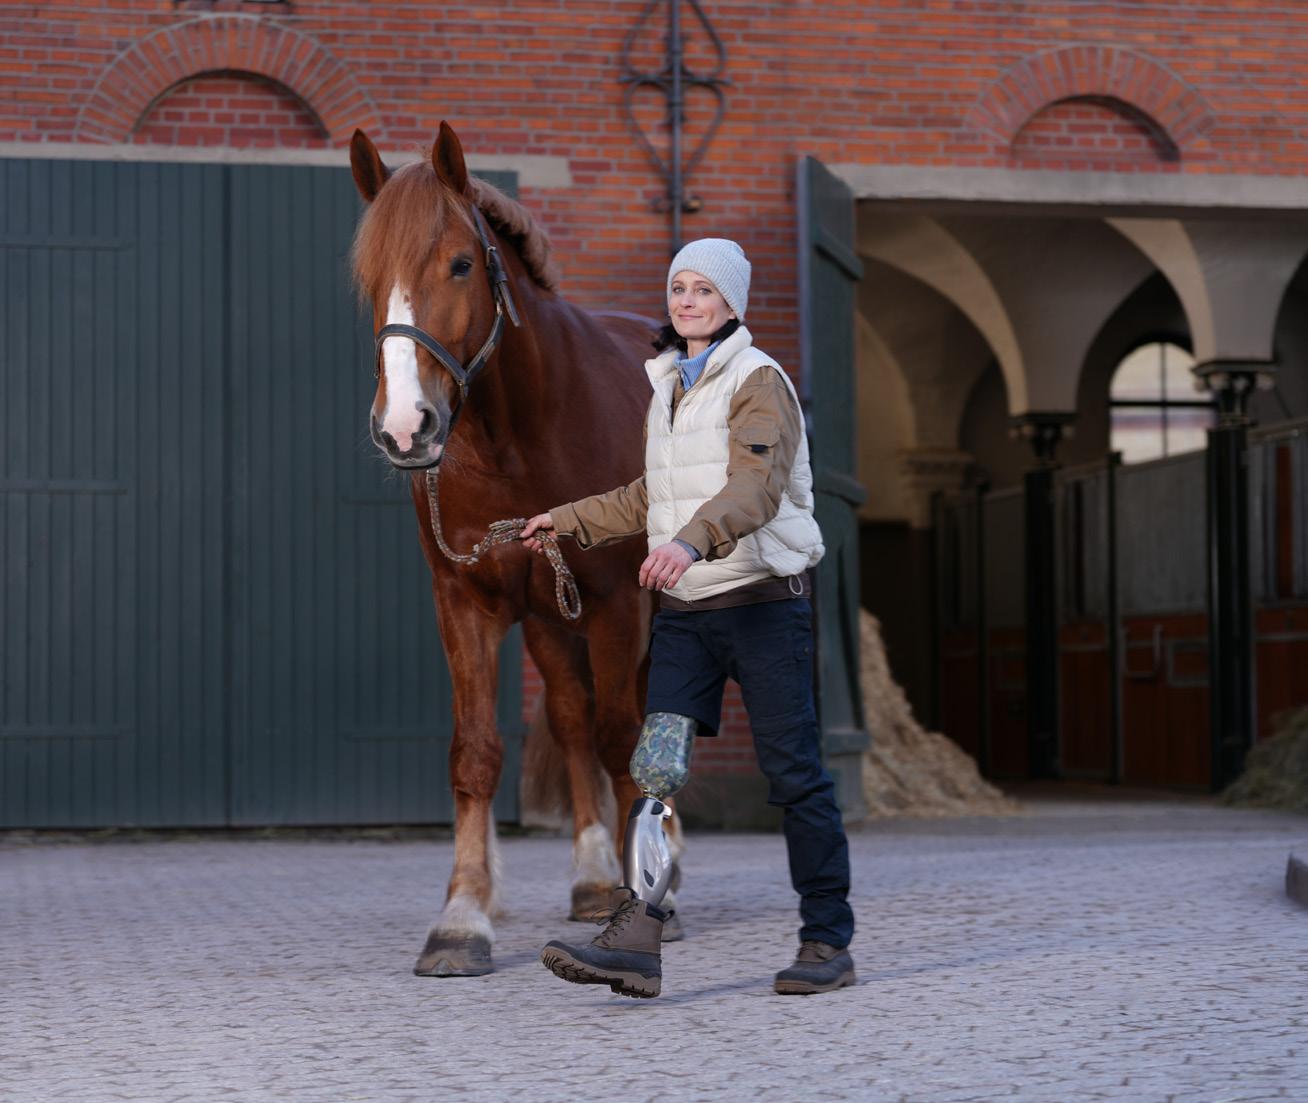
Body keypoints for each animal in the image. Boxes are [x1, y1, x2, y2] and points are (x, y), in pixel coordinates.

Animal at [350, 122, 672, 976]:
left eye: (461, 263)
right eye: (368, 279)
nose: (406, 427)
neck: (519, 439)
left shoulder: (618, 603)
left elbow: (623, 738)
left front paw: (637, 900)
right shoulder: (468, 601)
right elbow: (478, 752)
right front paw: (461, 920)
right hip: (550, 617)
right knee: (568, 716)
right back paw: (592, 877)